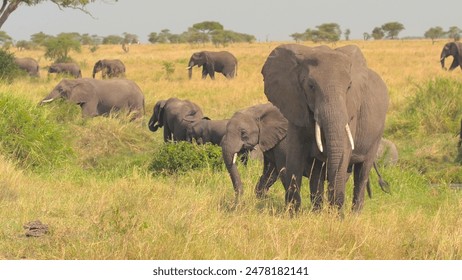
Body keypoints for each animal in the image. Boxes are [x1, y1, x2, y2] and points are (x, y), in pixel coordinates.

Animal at [262, 43, 388, 213]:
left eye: (349, 86)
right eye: (311, 86)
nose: (337, 211)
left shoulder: (350, 110)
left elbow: (345, 150)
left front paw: (335, 215)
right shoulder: (295, 104)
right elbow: (295, 155)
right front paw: (293, 213)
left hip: (377, 136)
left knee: (362, 173)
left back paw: (354, 215)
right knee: (318, 173)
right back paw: (318, 211)